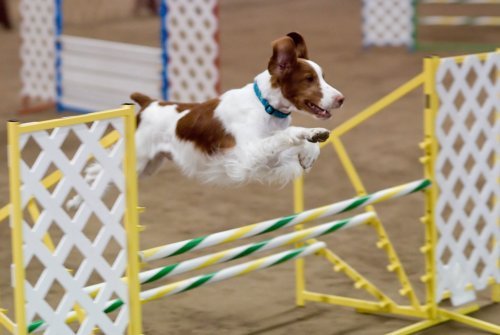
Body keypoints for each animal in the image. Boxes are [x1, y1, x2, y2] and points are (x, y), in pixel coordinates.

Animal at [67, 32, 344, 209]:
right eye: (309, 79)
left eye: (323, 76)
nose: (341, 99)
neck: (264, 107)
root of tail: (148, 102)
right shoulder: (246, 156)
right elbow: (288, 134)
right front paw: (311, 135)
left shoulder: (265, 161)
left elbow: (296, 146)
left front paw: (310, 150)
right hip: (138, 159)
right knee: (100, 172)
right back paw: (77, 201)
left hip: (148, 165)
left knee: (97, 170)